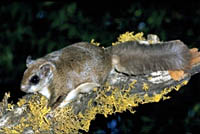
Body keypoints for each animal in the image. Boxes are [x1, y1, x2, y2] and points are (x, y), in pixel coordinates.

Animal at [20, 40, 200, 108]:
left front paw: (48, 110)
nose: (22, 88)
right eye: (24, 74)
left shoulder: (62, 88)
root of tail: (108, 56)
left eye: (35, 79)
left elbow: (57, 101)